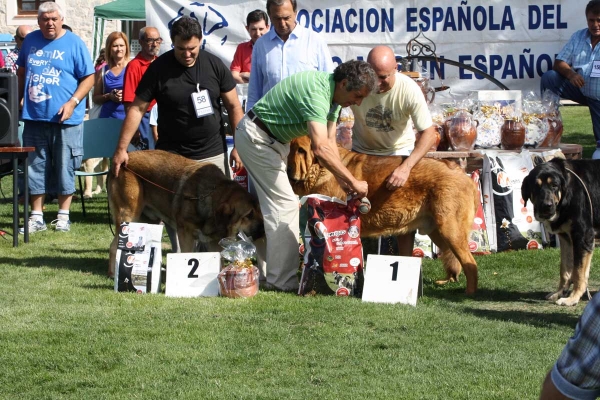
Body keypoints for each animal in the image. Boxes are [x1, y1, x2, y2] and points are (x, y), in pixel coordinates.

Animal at [109, 150, 264, 278]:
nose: (263, 231)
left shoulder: (213, 242)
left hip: (148, 222)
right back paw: (113, 273)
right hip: (128, 216)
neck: (210, 196)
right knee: (113, 246)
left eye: (260, 211)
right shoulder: (186, 235)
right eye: (249, 215)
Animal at [288, 136, 480, 296]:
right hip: (438, 232)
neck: (321, 168)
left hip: (450, 230)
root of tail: (463, 175)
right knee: (453, 257)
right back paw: (448, 281)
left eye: (301, 150)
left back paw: (469, 293)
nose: (288, 169)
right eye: (291, 149)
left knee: (470, 263)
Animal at [520, 157, 600, 306]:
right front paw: (559, 293)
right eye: (536, 186)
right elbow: (565, 269)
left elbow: (578, 272)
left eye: (554, 185)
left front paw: (572, 298)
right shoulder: (565, 238)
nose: (547, 205)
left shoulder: (583, 237)